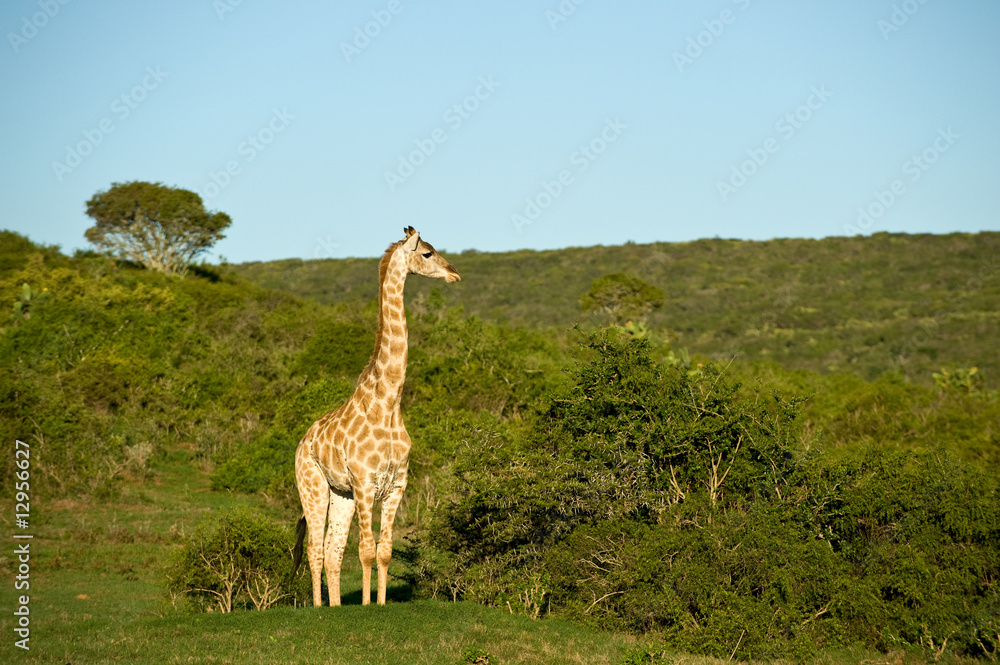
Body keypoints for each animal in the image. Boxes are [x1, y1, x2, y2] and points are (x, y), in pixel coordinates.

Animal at [291, 226, 461, 606]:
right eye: (427, 253)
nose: (455, 273)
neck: (388, 402)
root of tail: (302, 442)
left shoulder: (397, 485)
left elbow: (384, 551)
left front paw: (380, 602)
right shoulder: (366, 483)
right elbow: (366, 551)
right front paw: (368, 604)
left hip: (341, 494)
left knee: (333, 550)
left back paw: (336, 606)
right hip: (313, 487)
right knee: (315, 549)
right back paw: (319, 606)